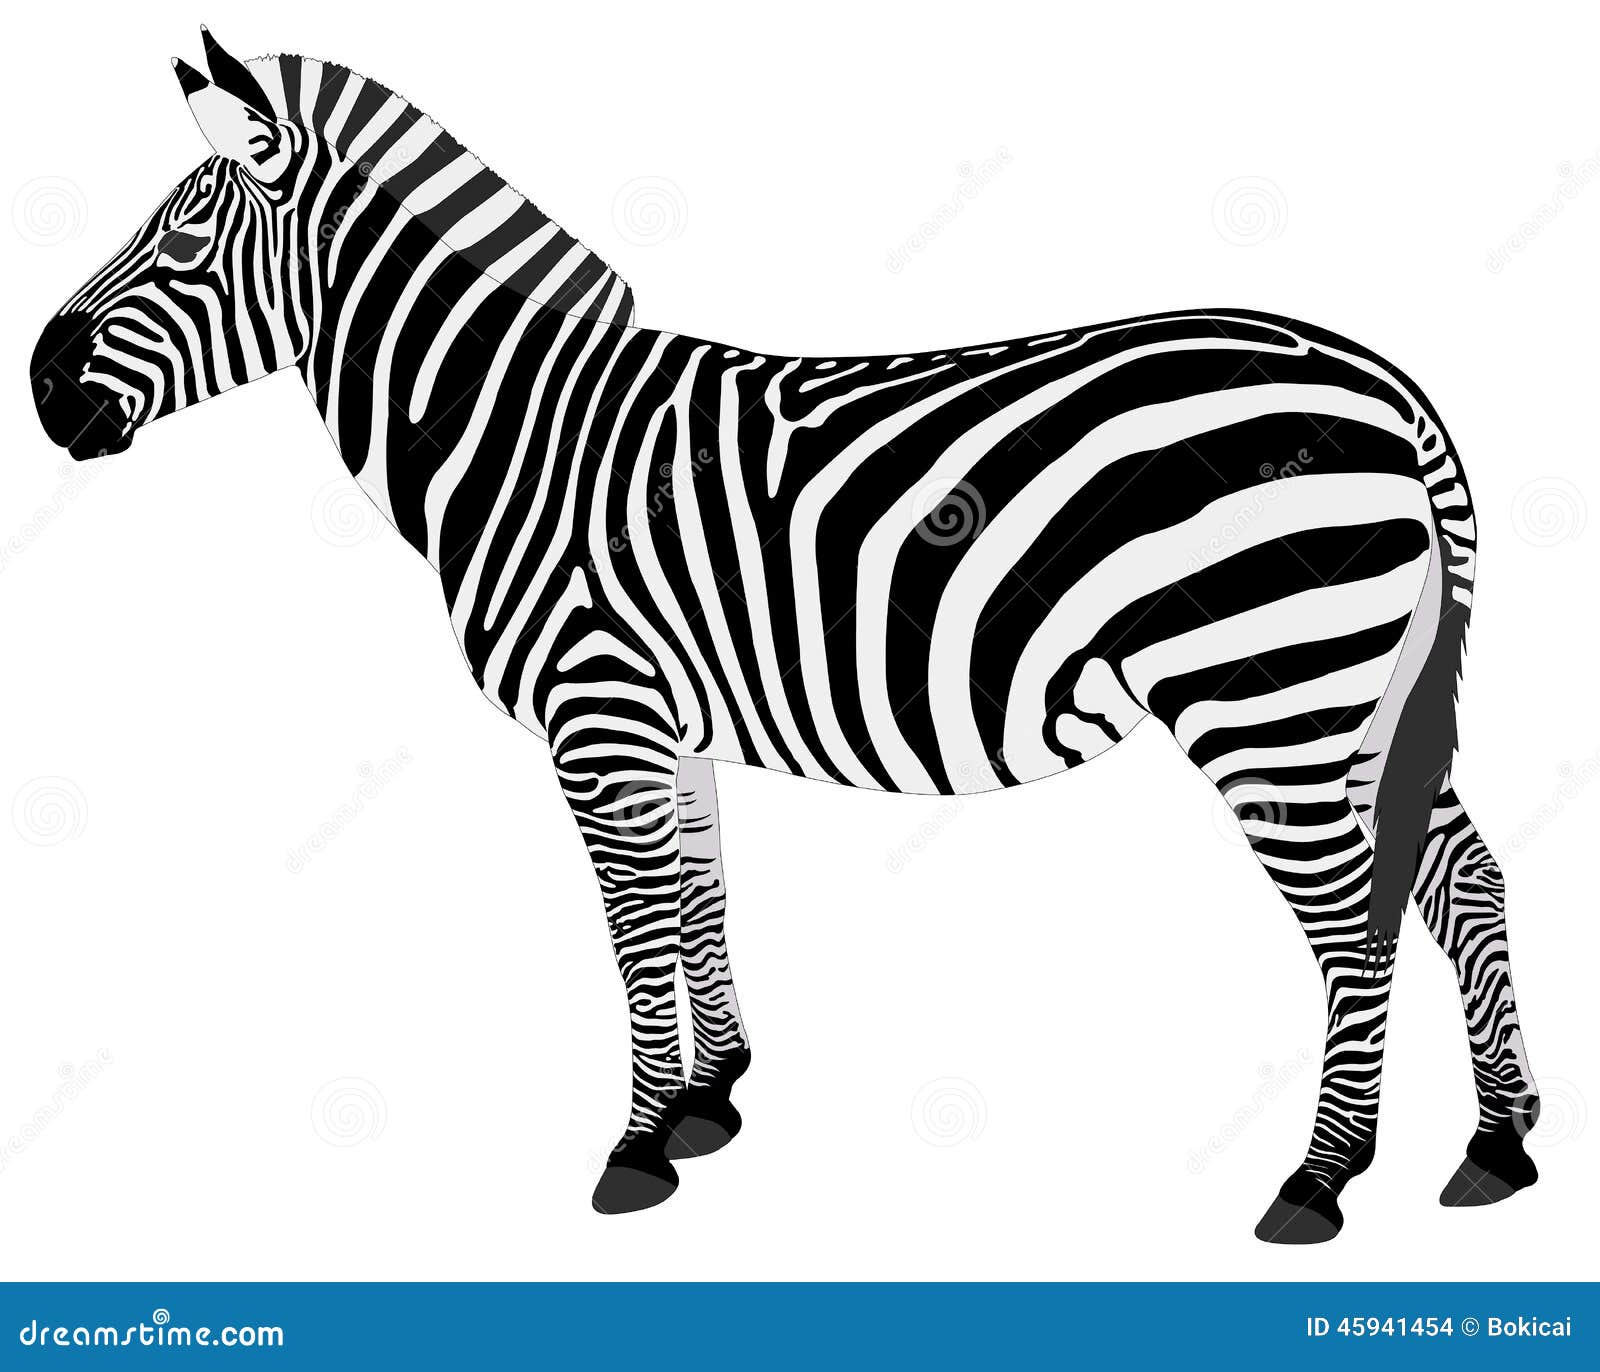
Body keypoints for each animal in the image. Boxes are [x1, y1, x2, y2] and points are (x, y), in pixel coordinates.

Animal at [29, 30, 1541, 1242]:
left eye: (180, 244)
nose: (40, 386)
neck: (519, 435)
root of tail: (1380, 381)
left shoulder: (596, 710)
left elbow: (635, 922)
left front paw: (636, 1146)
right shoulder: (665, 718)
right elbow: (699, 894)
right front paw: (710, 1103)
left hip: (1268, 693)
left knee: (1352, 920)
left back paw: (1321, 1181)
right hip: (1357, 696)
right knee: (1459, 877)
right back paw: (1499, 1142)